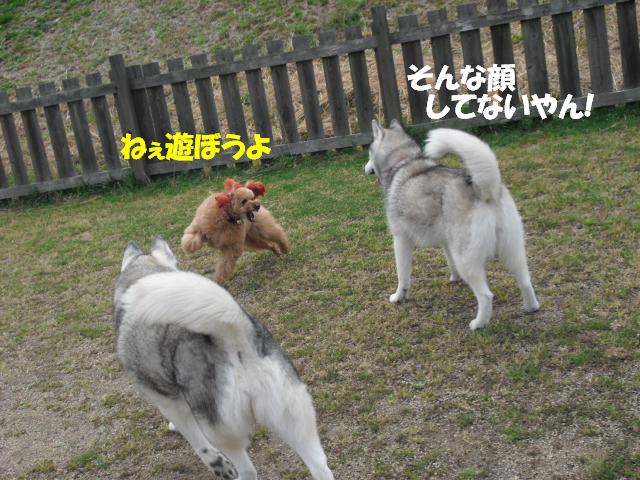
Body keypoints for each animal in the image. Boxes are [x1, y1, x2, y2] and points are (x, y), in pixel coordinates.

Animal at [113, 236, 334, 480]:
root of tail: (233, 333)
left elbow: (200, 444)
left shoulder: (167, 401)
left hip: (223, 432)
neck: (144, 274)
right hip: (294, 420)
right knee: (319, 465)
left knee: (248, 470)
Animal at [365, 120, 540, 329]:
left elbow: (402, 275)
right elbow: (450, 262)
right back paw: (531, 308)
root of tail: (485, 190)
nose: (365, 169)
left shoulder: (401, 240)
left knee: (486, 295)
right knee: (525, 281)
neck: (403, 160)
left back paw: (478, 324)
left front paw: (398, 297)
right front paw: (455, 279)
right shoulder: (446, 242)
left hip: (467, 260)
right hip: (512, 251)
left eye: (368, 151)